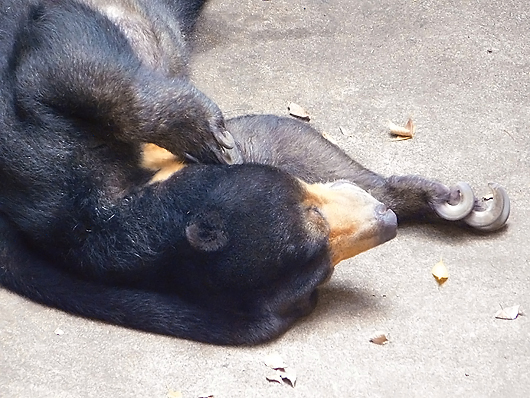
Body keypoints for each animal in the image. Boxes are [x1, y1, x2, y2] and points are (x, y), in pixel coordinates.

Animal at [0, 0, 508, 346]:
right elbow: (270, 136)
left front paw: (448, 201)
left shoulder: (45, 143)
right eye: (320, 274)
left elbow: (64, 57)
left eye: (308, 205)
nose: (387, 220)